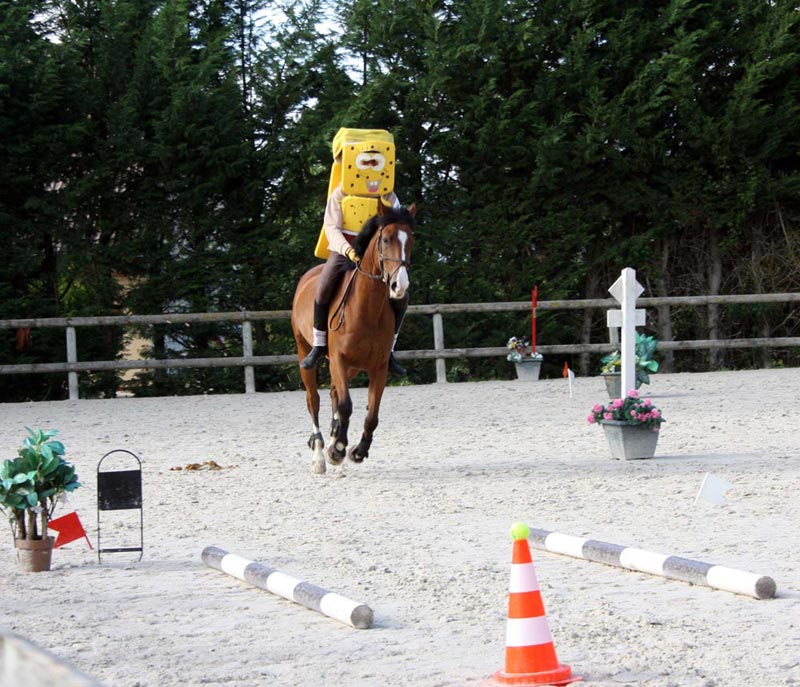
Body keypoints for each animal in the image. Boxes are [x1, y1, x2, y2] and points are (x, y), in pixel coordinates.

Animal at [294, 203, 418, 472]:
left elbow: (372, 414)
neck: (367, 309)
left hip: (350, 368)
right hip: (305, 353)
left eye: (411, 241)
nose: (399, 285)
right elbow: (346, 405)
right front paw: (338, 450)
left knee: (333, 394)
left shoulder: (379, 367)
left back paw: (333, 438)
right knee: (313, 400)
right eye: (385, 239)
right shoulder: (340, 360)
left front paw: (358, 451)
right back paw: (320, 454)